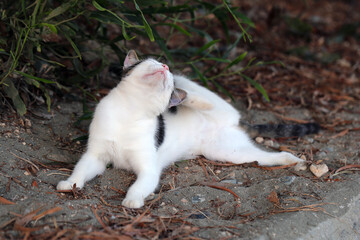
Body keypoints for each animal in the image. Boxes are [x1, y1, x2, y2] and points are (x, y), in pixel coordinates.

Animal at [57, 50, 306, 208]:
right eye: (153, 61)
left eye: (163, 67)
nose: (166, 67)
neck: (130, 112)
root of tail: (233, 122)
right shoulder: (95, 156)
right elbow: (80, 170)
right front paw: (71, 183)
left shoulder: (149, 169)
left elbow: (140, 185)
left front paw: (133, 199)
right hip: (230, 152)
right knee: (266, 156)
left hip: (219, 118)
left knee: (205, 98)